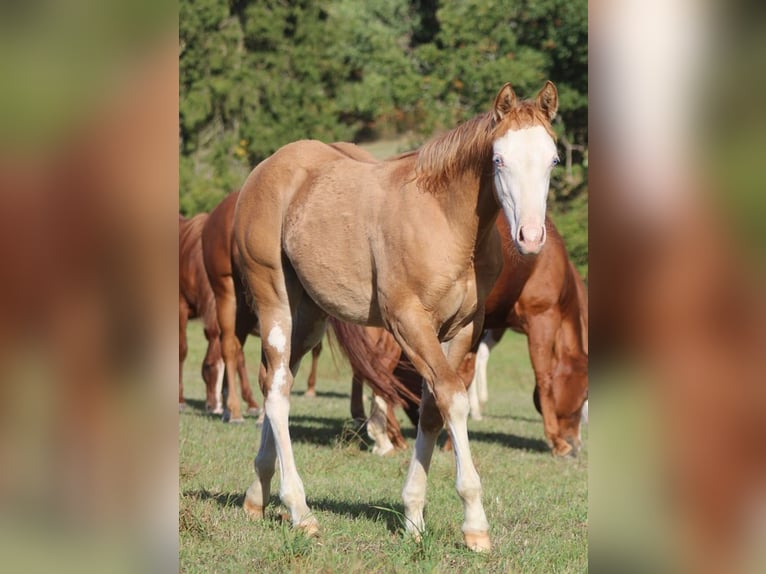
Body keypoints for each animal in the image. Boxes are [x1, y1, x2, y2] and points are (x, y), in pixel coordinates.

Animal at [234, 81, 560, 551]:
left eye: (553, 159)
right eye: (498, 159)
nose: (530, 237)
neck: (447, 222)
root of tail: (264, 170)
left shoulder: (461, 330)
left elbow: (432, 410)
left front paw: (413, 517)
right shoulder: (409, 322)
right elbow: (453, 400)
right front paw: (475, 525)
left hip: (309, 317)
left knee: (275, 380)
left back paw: (256, 497)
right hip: (273, 299)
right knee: (277, 392)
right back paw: (300, 511)